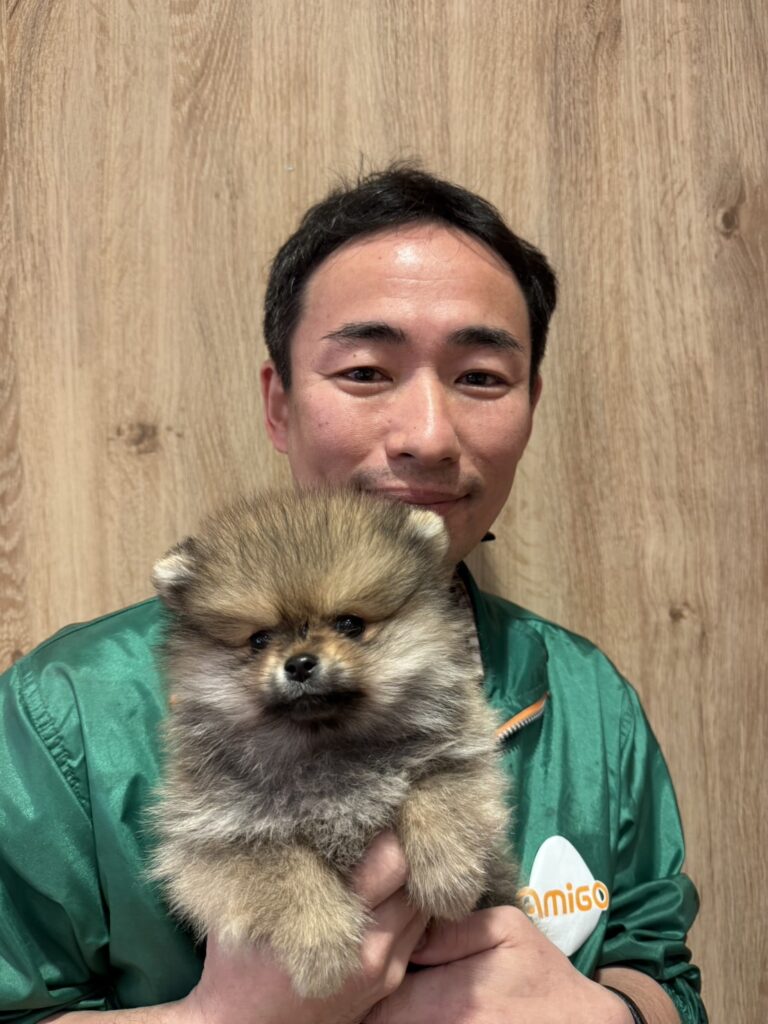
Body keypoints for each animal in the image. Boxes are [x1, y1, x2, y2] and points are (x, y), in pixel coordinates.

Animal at [149, 488, 517, 997]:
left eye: (349, 624)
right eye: (259, 640)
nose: (300, 663)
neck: (327, 749)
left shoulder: (458, 753)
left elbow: (436, 794)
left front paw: (448, 875)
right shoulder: (220, 835)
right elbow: (288, 868)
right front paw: (321, 947)